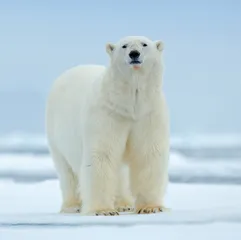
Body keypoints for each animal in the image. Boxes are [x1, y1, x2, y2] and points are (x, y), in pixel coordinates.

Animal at [45, 35, 169, 216]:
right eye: (124, 46)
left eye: (144, 44)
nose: (134, 53)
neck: (129, 103)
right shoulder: (107, 113)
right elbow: (102, 154)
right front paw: (103, 210)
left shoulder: (148, 113)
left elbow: (148, 153)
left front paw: (151, 207)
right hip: (56, 131)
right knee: (67, 171)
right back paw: (73, 206)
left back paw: (124, 204)